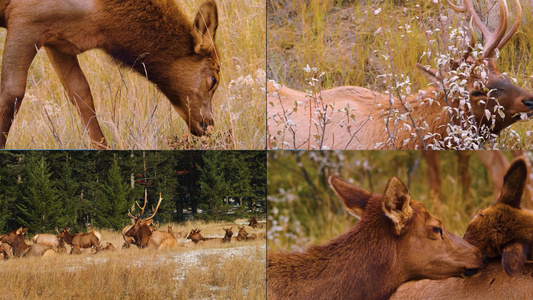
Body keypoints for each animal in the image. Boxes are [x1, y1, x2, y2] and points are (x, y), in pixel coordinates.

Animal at [0, 0, 218, 149]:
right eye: (214, 80)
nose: (208, 125)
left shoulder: (57, 41)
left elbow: (81, 95)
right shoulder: (25, 19)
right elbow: (11, 92)